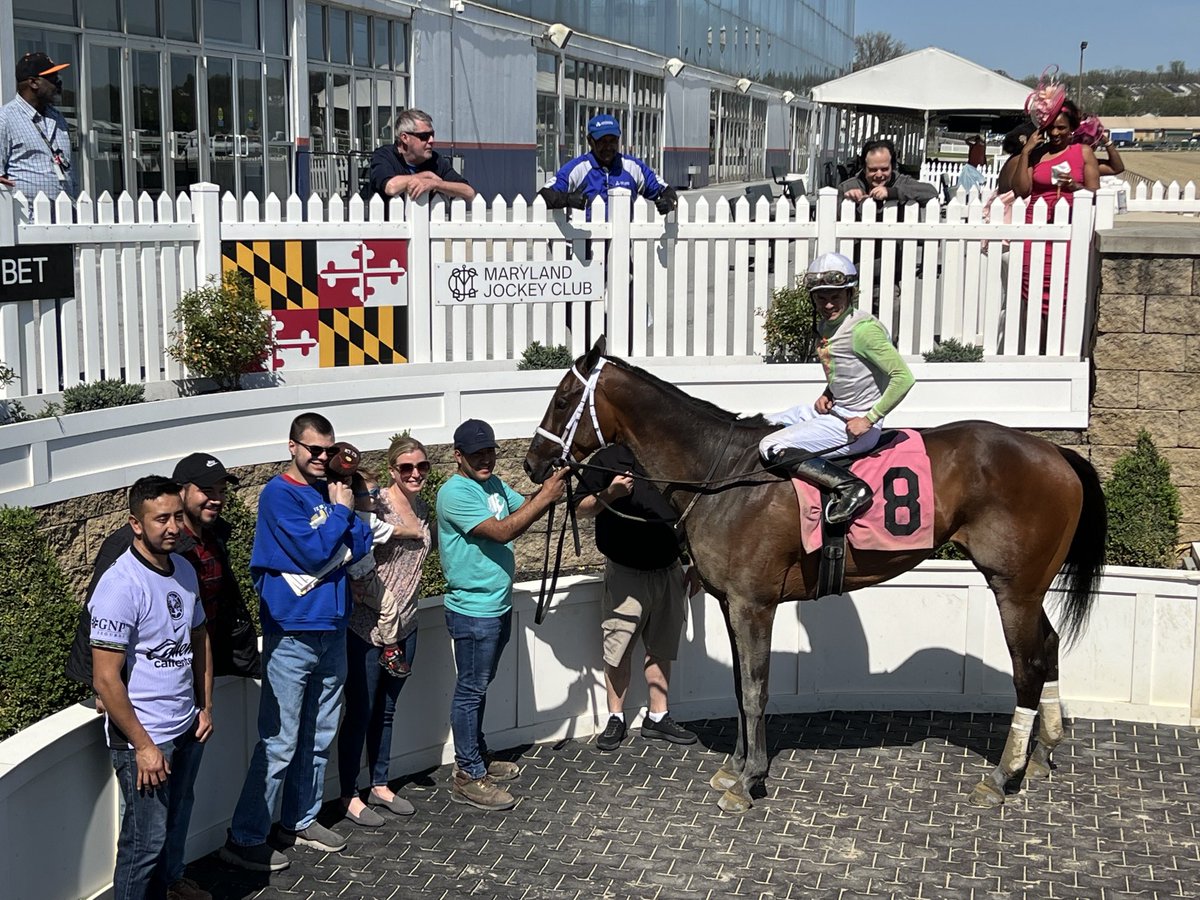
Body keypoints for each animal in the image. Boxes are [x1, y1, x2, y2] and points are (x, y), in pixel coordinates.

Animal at [525, 338, 1104, 816]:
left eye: (562, 398)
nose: (533, 463)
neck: (722, 473)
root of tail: (1055, 450)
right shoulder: (729, 603)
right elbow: (738, 686)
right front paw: (735, 767)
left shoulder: (753, 604)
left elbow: (755, 689)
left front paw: (750, 779)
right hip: (1029, 588)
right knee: (1049, 646)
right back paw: (1042, 753)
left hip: (1013, 587)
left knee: (1028, 667)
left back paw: (1004, 776)